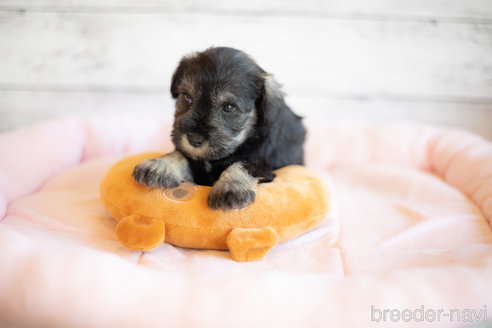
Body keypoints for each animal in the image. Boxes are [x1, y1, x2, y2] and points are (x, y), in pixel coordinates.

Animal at [133, 46, 306, 210]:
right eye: (187, 97)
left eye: (229, 107)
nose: (194, 140)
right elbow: (180, 154)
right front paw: (160, 165)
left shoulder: (263, 166)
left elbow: (244, 164)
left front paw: (231, 187)